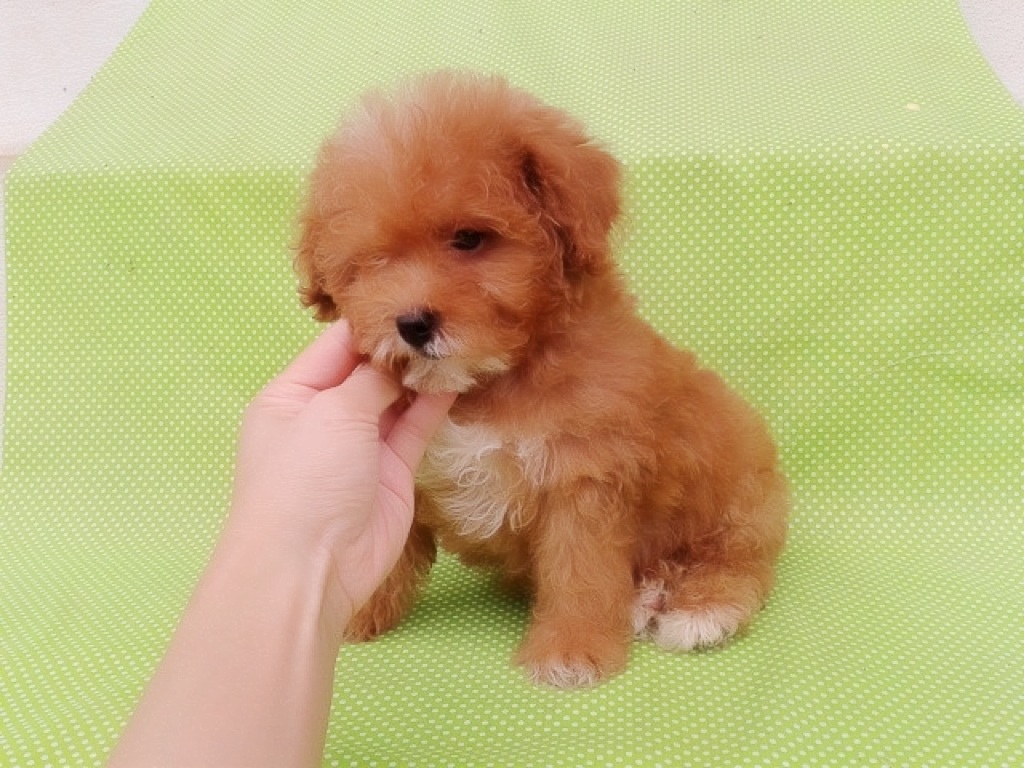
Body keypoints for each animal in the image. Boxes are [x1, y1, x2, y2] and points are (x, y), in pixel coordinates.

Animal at [295, 71, 788, 688]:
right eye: (374, 261)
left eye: (469, 239)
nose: (411, 324)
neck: (487, 382)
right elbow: (385, 544)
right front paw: (355, 612)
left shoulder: (584, 474)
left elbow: (579, 572)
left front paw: (571, 649)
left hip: (734, 493)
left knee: (738, 561)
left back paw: (701, 609)